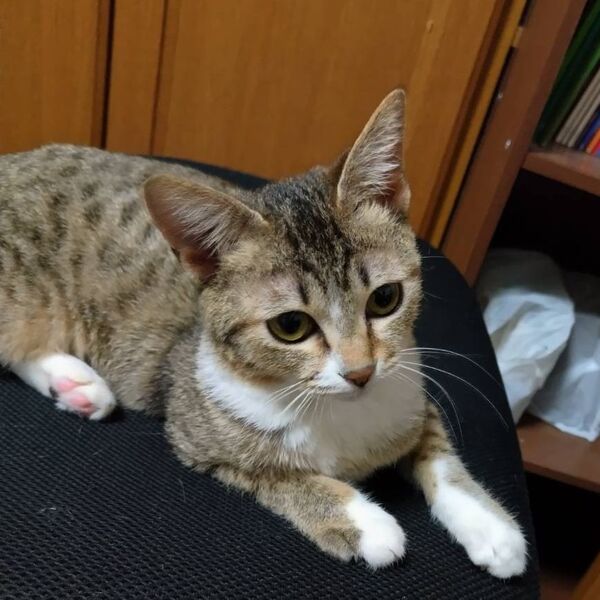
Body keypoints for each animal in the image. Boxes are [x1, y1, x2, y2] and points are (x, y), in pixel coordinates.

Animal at [0, 90, 526, 577]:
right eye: (291, 326)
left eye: (385, 298)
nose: (360, 372)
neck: (338, 411)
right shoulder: (193, 428)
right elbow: (274, 474)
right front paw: (364, 521)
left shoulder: (410, 392)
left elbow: (438, 453)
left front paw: (490, 525)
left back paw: (76, 385)